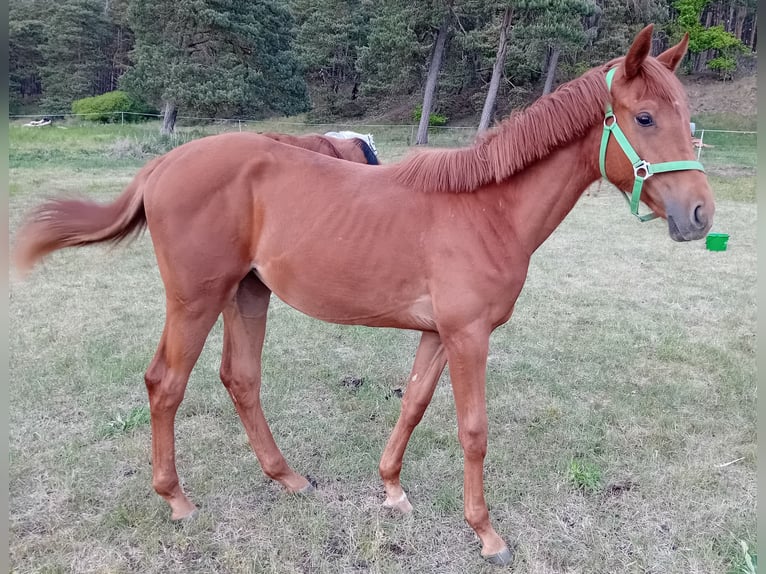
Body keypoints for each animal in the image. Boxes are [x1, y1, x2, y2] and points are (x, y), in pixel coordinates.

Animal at [12, 26, 713, 566]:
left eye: (687, 119)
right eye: (644, 117)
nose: (700, 215)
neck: (485, 211)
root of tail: (163, 164)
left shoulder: (437, 334)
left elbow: (414, 404)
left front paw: (393, 490)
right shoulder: (468, 336)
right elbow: (473, 428)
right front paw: (487, 534)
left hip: (247, 294)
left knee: (240, 379)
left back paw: (289, 478)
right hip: (196, 299)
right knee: (166, 384)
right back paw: (178, 500)